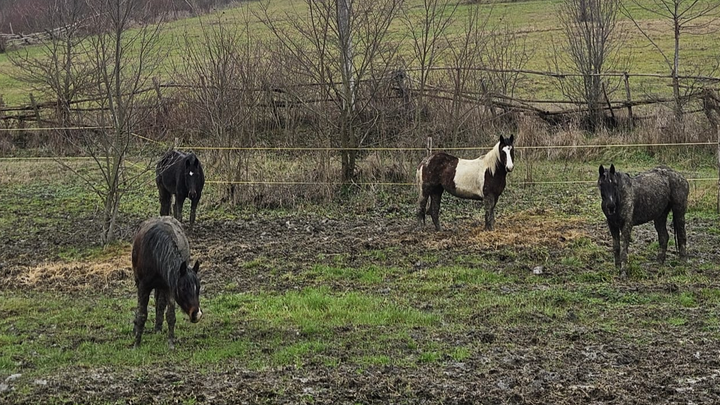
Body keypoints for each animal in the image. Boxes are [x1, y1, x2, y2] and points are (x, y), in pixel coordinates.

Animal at [131, 216, 203, 348]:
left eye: (199, 287)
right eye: (183, 288)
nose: (197, 314)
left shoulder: (169, 287)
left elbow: (170, 315)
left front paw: (171, 343)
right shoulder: (143, 287)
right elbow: (142, 314)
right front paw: (136, 344)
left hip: (161, 287)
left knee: (160, 303)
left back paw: (158, 329)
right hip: (139, 282)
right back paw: (136, 330)